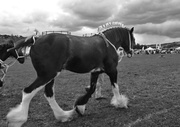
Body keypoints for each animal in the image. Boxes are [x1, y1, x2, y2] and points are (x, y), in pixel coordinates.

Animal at [5, 22, 135, 127]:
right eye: (133, 38)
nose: (131, 52)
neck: (107, 44)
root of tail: (36, 39)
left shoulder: (96, 71)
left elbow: (91, 89)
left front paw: (80, 107)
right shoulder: (112, 70)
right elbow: (115, 87)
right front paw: (121, 103)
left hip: (50, 76)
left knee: (49, 94)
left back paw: (63, 115)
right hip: (47, 75)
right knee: (28, 91)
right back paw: (18, 119)